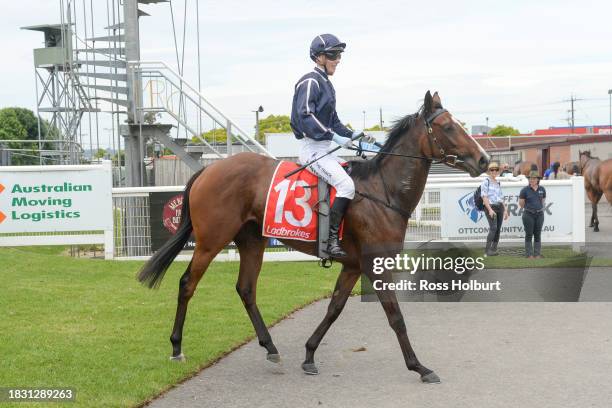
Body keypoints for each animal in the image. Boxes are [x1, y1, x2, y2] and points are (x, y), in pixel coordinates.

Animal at [136, 91, 490, 384]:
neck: (382, 191)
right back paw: (177, 347)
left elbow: (334, 308)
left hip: (252, 241)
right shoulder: (375, 265)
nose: (484, 159)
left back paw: (270, 347)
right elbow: (395, 316)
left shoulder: (353, 266)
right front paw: (419, 366)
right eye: (447, 127)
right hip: (212, 240)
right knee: (187, 284)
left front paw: (308, 354)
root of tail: (208, 170)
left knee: (246, 289)